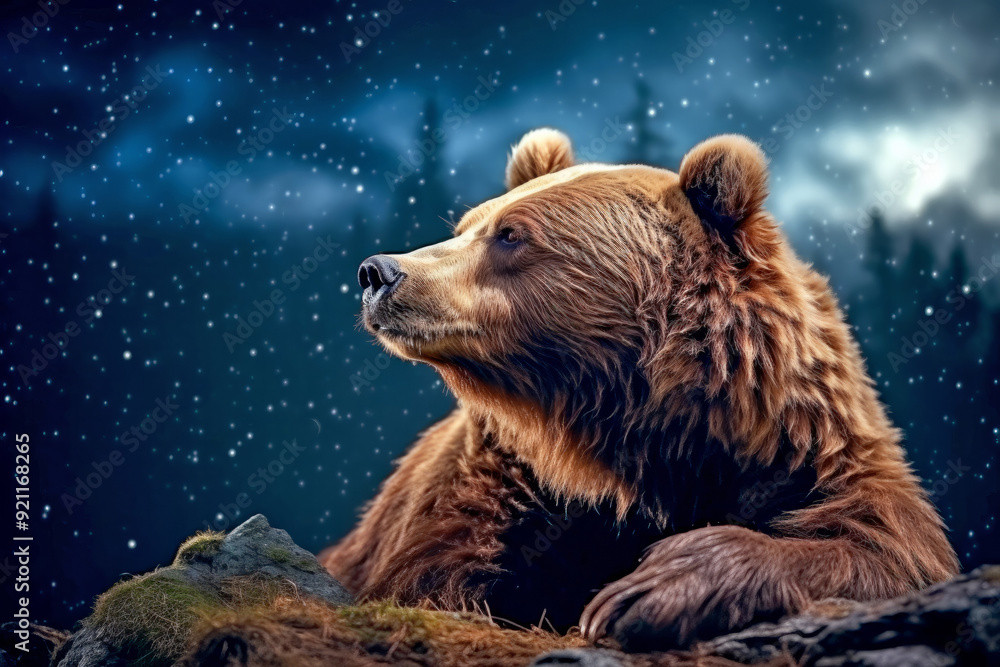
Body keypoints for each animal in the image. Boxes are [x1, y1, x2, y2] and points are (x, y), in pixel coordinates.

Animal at [320, 128, 959, 650]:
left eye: (511, 235)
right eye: (466, 226)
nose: (380, 272)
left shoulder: (805, 450)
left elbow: (885, 547)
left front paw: (648, 589)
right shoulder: (496, 480)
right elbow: (435, 571)